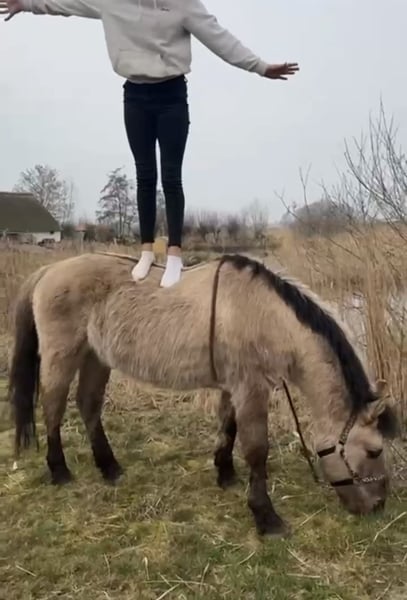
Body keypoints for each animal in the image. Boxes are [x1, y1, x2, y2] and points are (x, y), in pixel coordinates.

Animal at [8, 252, 398, 536]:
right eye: (375, 450)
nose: (378, 506)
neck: (266, 315)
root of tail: (49, 269)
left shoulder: (233, 386)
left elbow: (228, 429)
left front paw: (225, 474)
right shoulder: (250, 388)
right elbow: (257, 449)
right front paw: (266, 518)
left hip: (95, 357)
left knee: (88, 406)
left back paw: (110, 468)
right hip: (62, 356)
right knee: (53, 408)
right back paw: (59, 470)